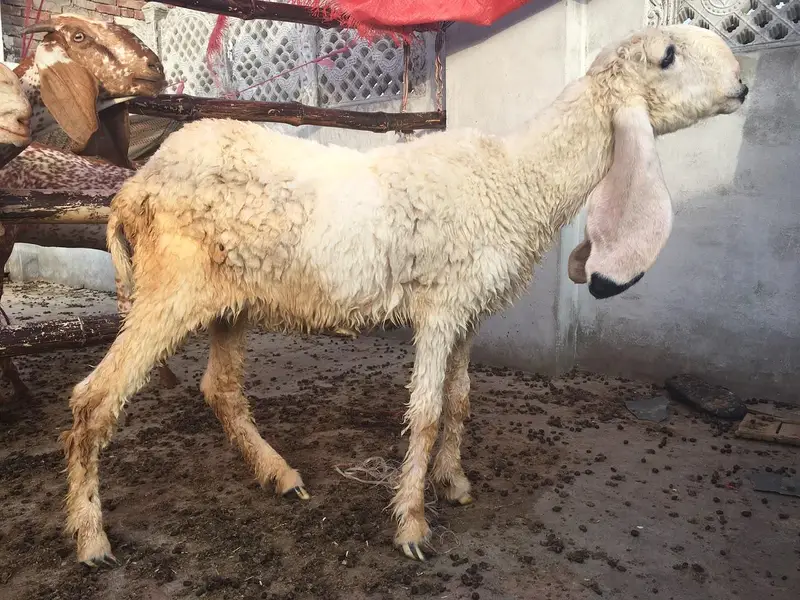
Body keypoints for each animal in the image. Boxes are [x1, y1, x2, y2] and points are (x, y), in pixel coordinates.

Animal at [61, 25, 748, 566]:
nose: (743, 85)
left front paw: (454, 482)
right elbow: (426, 413)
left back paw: (280, 476)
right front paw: (412, 525)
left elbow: (461, 402)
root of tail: (134, 187)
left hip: (228, 299)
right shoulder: (441, 308)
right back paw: (91, 537)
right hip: (170, 288)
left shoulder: (470, 310)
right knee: (94, 399)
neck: (516, 178)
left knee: (221, 390)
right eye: (667, 55)